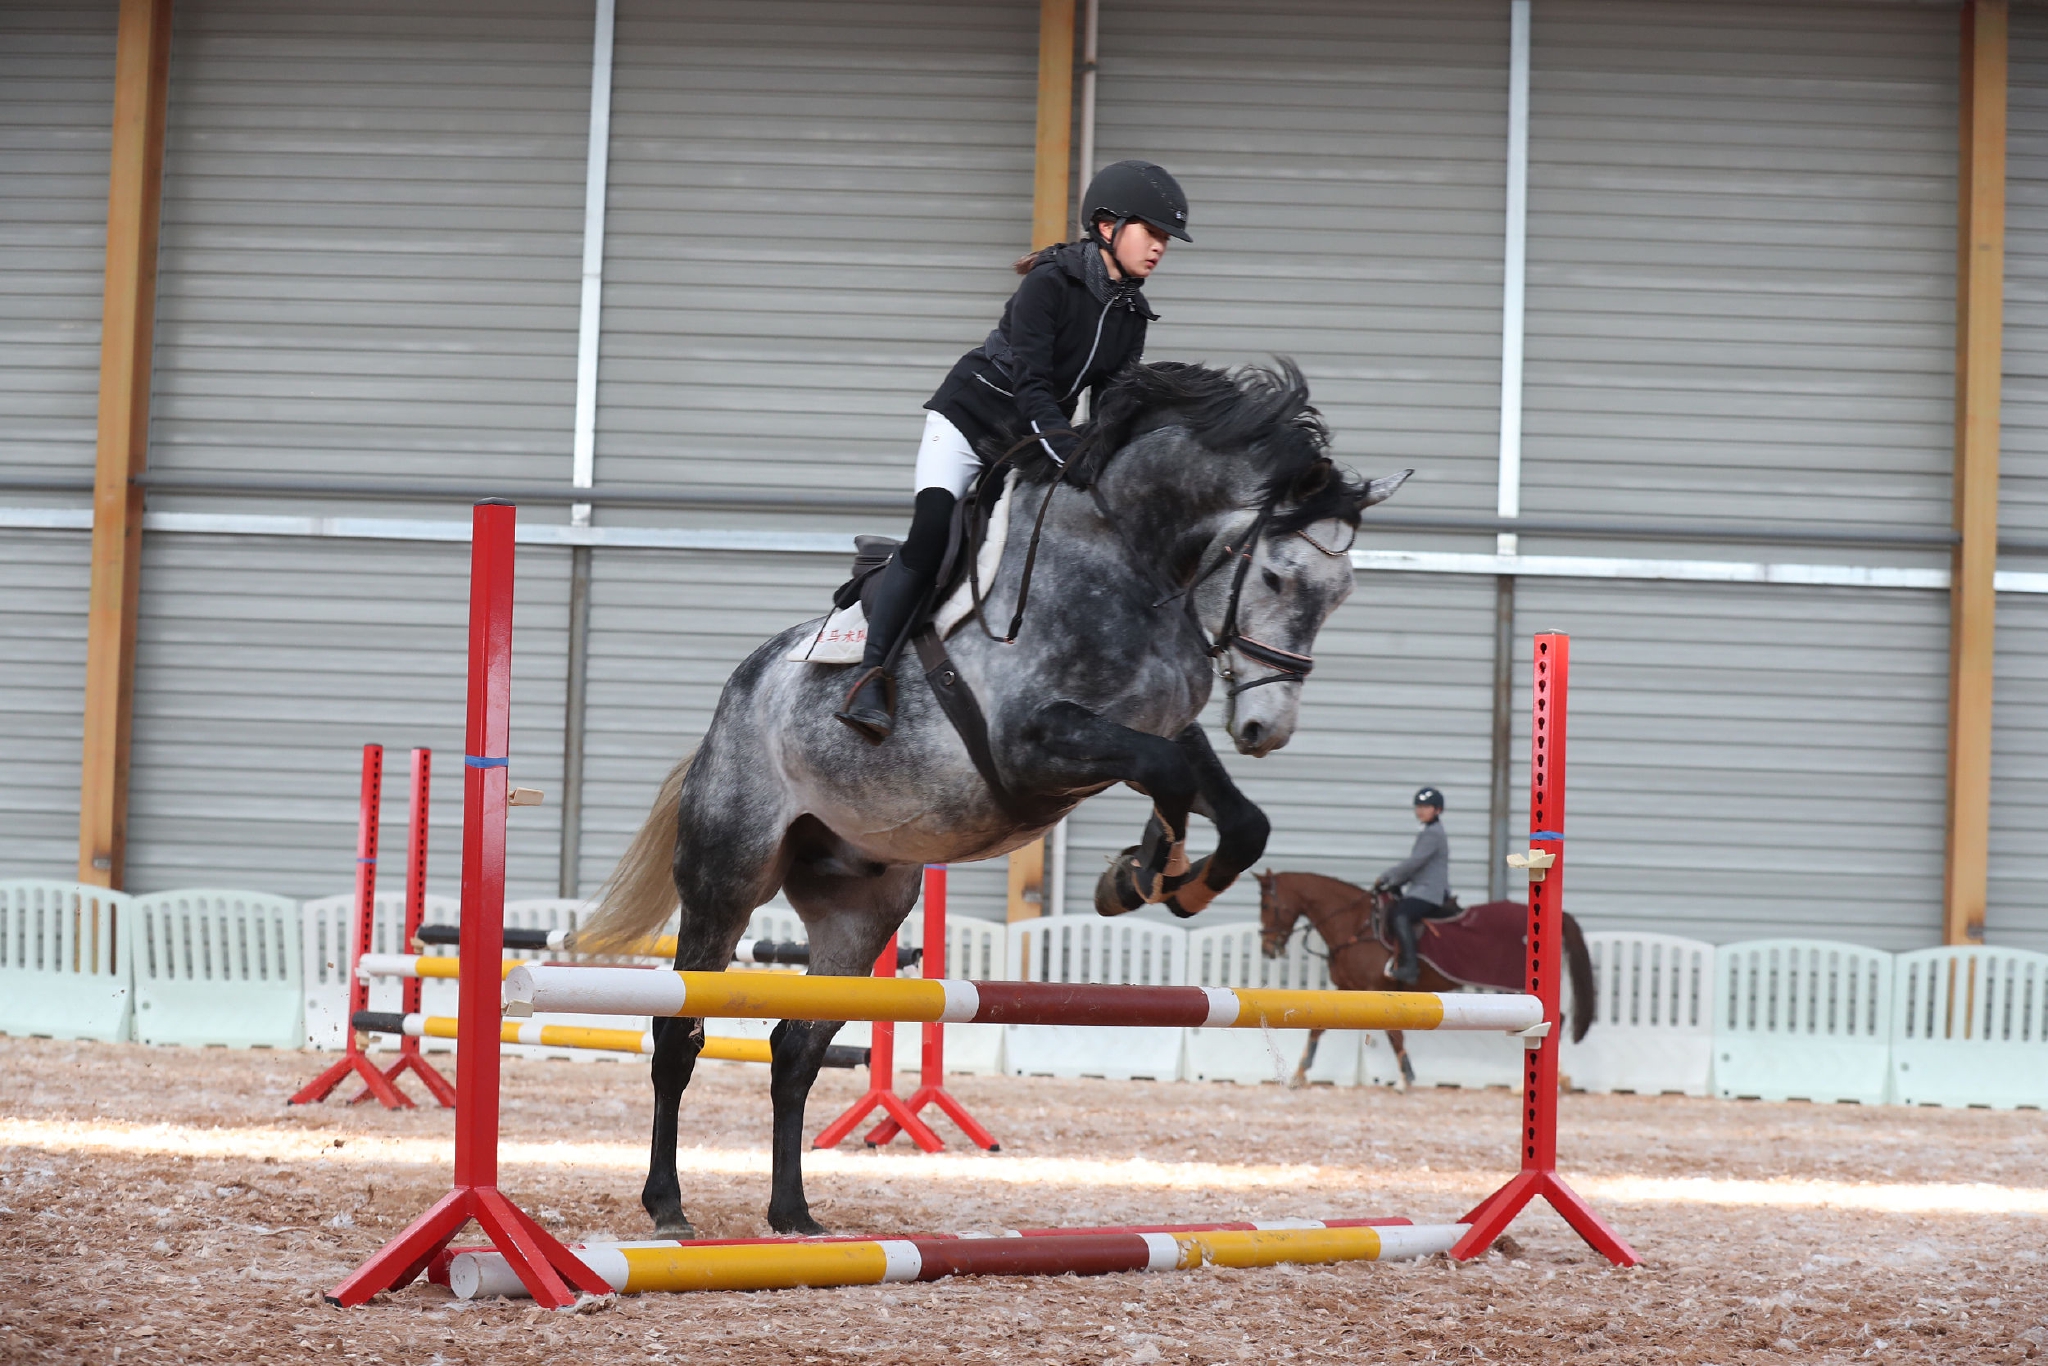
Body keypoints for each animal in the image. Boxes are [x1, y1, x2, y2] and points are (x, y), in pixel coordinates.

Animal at [577, 362, 1409, 1236]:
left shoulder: (1159, 731)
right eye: (1278, 575)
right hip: (728, 878)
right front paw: (1148, 870)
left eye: (1342, 594)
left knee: (795, 1049)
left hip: (860, 910)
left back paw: (793, 1214)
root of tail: (730, 706)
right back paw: (668, 1205)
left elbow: (1240, 818)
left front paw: (1154, 876)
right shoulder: (1034, 745)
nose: (1265, 728)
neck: (1129, 562)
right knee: (678, 1031)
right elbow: (1172, 782)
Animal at [1245, 876, 1597, 1089]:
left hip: (1522, 991)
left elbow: (1395, 1034)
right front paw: (1299, 1074)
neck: (1356, 925)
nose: (1267, 948)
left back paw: (1556, 1078)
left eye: (1267, 905)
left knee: (1555, 1019)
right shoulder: (1348, 989)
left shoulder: (1376, 989)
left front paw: (1407, 1078)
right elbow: (1317, 1029)